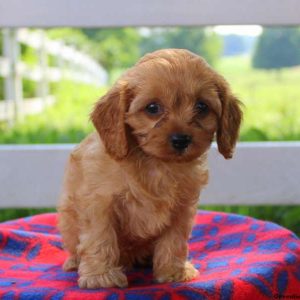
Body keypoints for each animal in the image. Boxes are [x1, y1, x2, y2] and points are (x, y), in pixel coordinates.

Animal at [57, 48, 243, 288]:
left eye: (202, 106)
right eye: (152, 108)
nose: (181, 140)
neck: (157, 163)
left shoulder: (182, 207)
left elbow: (175, 239)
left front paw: (173, 271)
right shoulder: (99, 203)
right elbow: (100, 237)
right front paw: (101, 277)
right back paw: (73, 261)